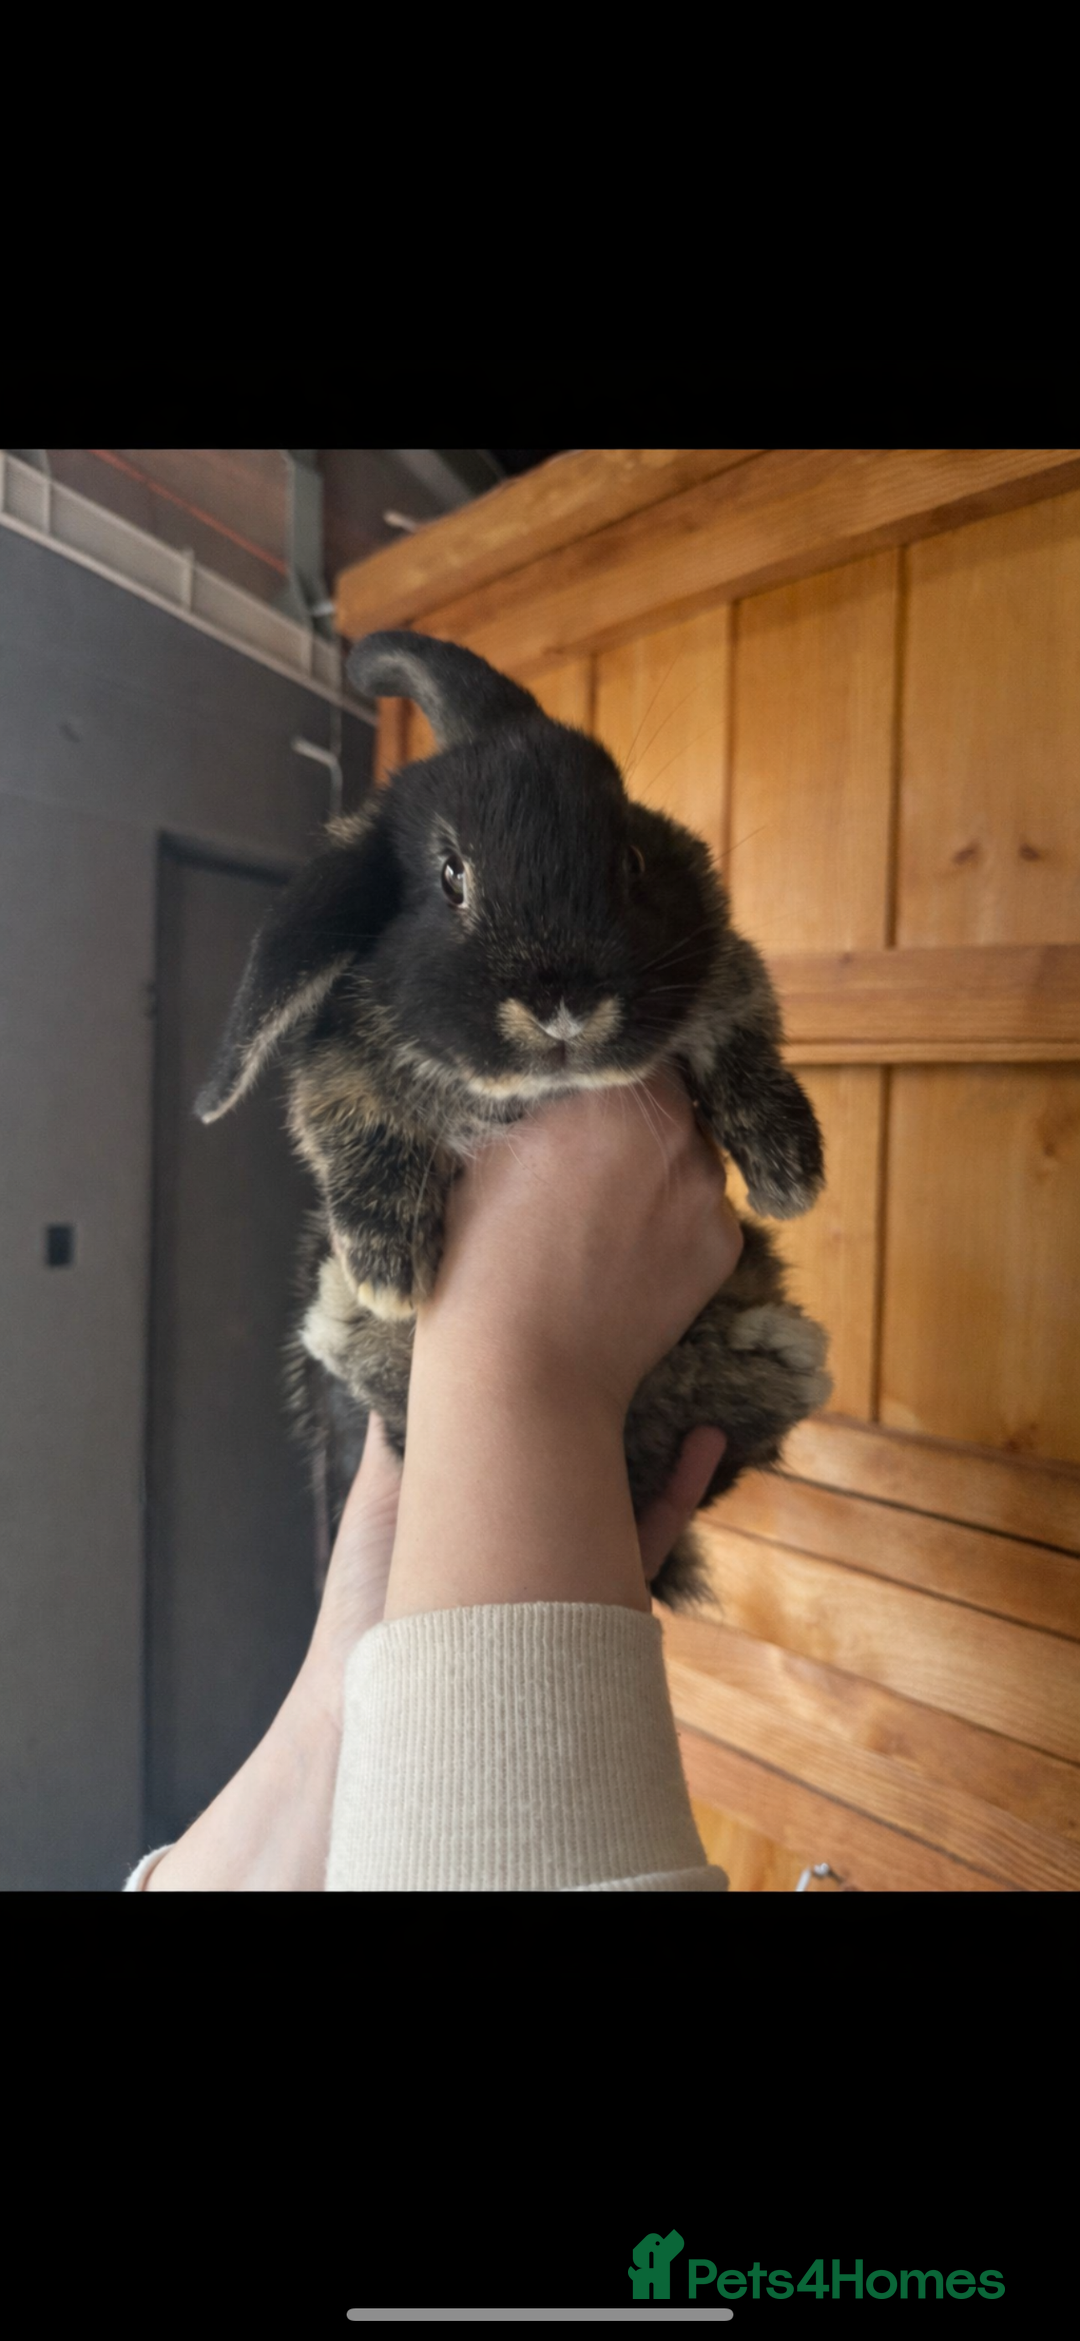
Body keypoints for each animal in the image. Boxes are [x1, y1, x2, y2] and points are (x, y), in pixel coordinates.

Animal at [196, 630, 832, 1610]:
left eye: (632, 861)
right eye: (451, 876)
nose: (564, 1004)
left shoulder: (721, 973)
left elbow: (745, 1043)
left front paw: (789, 1171)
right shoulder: (336, 1064)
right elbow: (345, 1118)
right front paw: (389, 1268)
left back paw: (773, 1352)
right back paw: (353, 1315)